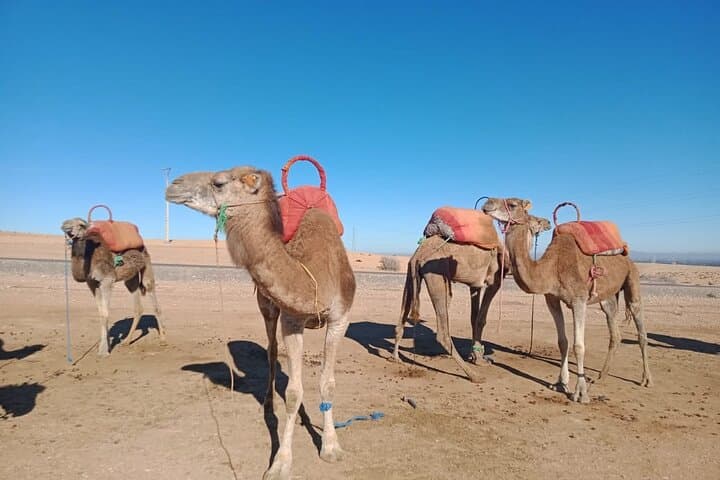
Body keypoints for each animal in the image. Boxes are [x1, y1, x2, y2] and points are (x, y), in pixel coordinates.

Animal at [60, 218, 167, 356]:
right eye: (65, 223)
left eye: (81, 224)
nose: (67, 228)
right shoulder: (92, 283)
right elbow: (101, 313)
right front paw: (107, 345)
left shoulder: (107, 281)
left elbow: (105, 313)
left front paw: (104, 351)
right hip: (131, 279)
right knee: (137, 305)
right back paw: (126, 341)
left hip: (147, 265)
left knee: (152, 295)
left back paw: (163, 340)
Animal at [165, 166, 356, 480]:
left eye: (218, 182)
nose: (172, 186)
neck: (313, 276)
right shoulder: (291, 319)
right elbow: (293, 393)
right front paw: (280, 464)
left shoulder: (340, 318)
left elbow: (327, 384)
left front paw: (331, 448)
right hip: (266, 307)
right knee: (271, 349)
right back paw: (267, 401)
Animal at [393, 215, 551, 382]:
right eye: (536, 220)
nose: (548, 222)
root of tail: (419, 254)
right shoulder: (494, 282)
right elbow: (481, 319)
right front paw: (480, 361)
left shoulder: (474, 286)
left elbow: (474, 318)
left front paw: (476, 357)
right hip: (437, 276)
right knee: (442, 332)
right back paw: (473, 375)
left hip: (411, 274)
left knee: (402, 315)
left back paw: (396, 357)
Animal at [481, 198, 652, 403]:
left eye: (513, 204)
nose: (487, 204)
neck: (551, 268)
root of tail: (626, 256)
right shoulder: (552, 300)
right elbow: (563, 342)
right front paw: (560, 383)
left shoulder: (579, 301)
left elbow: (579, 346)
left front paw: (581, 392)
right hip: (607, 297)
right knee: (614, 330)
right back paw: (601, 376)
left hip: (632, 278)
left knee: (640, 327)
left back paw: (646, 379)